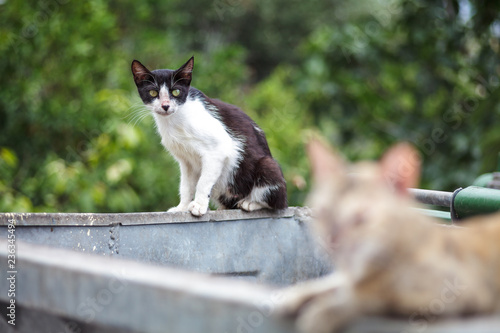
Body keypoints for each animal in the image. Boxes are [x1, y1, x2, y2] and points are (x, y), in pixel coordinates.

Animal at [131, 56, 288, 215]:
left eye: (176, 92)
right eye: (153, 92)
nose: (165, 106)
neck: (176, 119)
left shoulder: (218, 149)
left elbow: (203, 181)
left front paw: (199, 205)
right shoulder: (186, 161)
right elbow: (186, 185)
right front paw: (182, 207)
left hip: (267, 167)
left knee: (277, 202)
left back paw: (250, 203)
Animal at [282, 137, 500, 330]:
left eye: (361, 218)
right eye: (325, 212)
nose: (332, 240)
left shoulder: (456, 290)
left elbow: (368, 294)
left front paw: (328, 310)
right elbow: (336, 283)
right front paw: (300, 293)